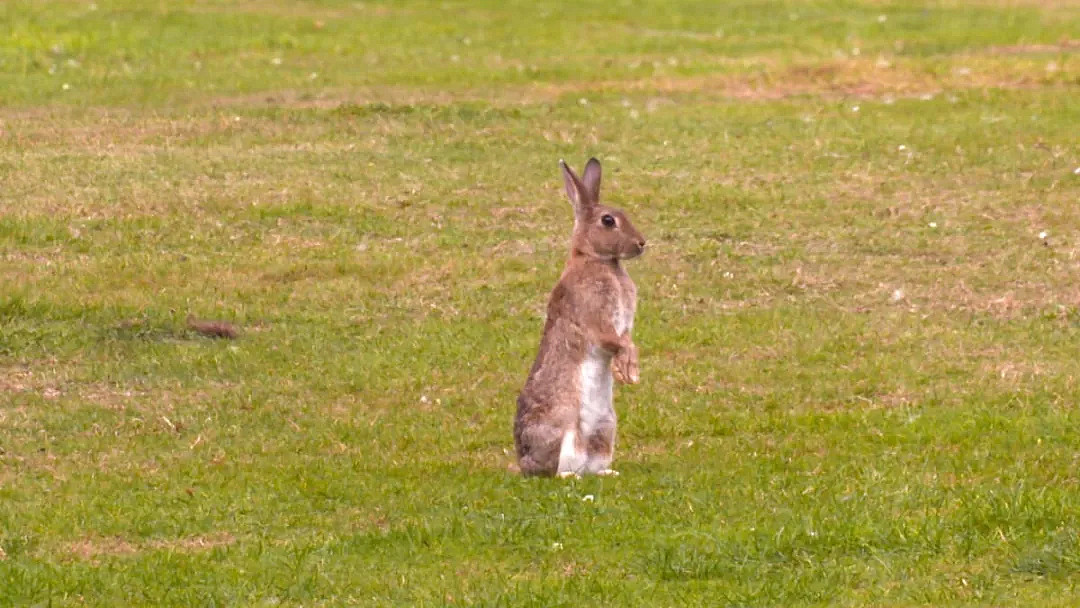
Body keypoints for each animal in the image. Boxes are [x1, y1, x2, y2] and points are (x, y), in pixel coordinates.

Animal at [511, 158, 643, 481]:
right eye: (608, 221)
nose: (641, 244)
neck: (597, 258)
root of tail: (524, 464)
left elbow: (627, 339)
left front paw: (628, 369)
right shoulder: (597, 319)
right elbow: (614, 340)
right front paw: (627, 368)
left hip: (605, 430)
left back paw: (608, 474)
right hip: (564, 429)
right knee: (557, 471)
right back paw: (569, 476)